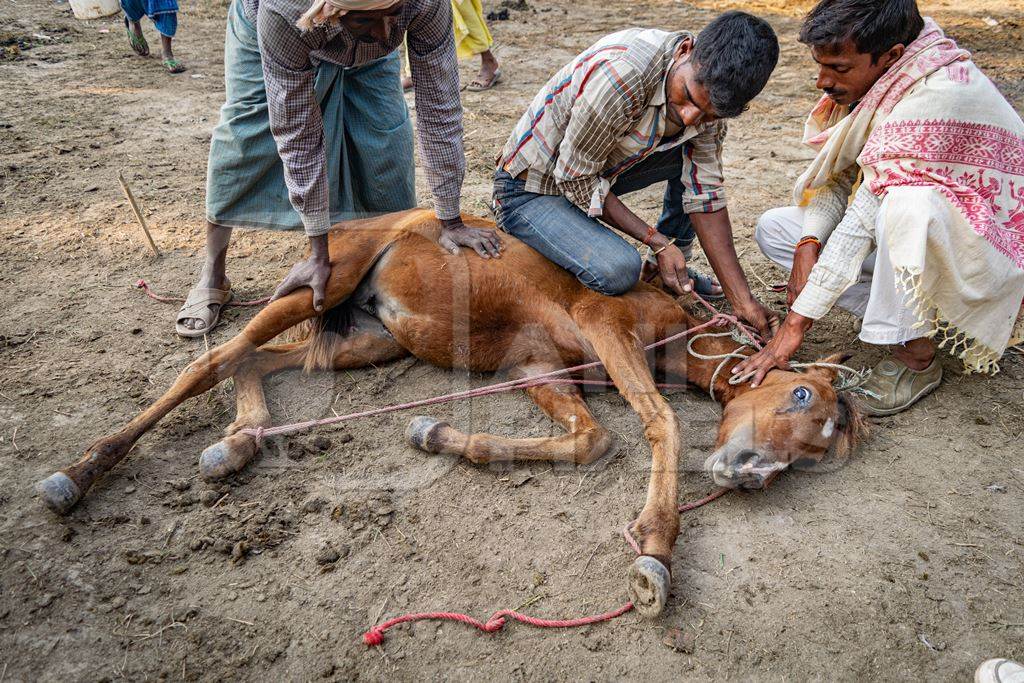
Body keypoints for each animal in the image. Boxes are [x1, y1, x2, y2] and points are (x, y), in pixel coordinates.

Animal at [36, 209, 864, 618]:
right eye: (800, 395)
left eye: (822, 442)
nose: (750, 474)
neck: (666, 318)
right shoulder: (601, 322)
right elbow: (656, 419)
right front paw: (657, 550)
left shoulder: (539, 369)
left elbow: (592, 440)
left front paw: (435, 432)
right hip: (317, 287)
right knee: (213, 359)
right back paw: (79, 472)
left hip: (367, 338)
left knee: (265, 362)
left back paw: (237, 443)